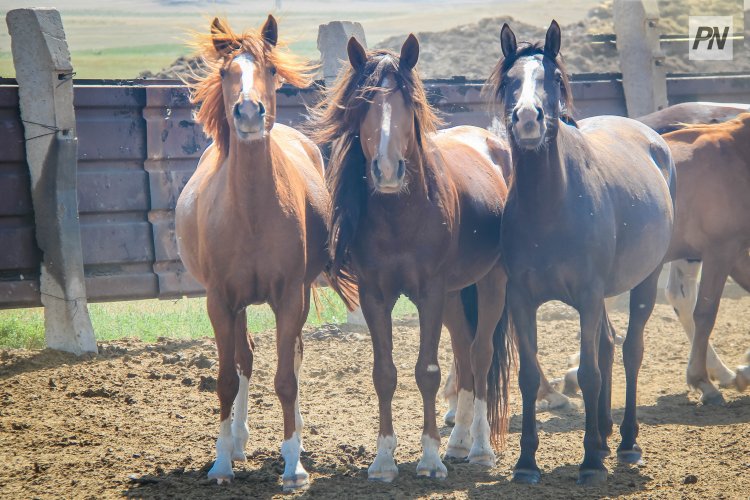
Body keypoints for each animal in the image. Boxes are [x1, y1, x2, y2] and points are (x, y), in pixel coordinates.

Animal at [175, 17, 356, 490]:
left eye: (271, 70)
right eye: (225, 72)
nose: (249, 112)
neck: (252, 213)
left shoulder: (290, 296)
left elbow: (287, 378)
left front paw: (294, 465)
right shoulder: (220, 301)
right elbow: (225, 378)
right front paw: (221, 462)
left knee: (288, 356)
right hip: (236, 306)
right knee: (244, 358)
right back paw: (237, 441)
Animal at [312, 35, 516, 480]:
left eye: (408, 103)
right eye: (365, 104)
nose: (388, 170)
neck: (400, 216)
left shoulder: (430, 292)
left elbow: (427, 371)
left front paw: (429, 459)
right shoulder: (374, 295)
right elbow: (384, 374)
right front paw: (384, 460)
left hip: (491, 281)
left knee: (480, 354)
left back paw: (480, 448)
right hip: (456, 294)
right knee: (464, 351)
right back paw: (459, 442)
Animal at [490, 22, 680, 484]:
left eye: (555, 79)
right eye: (508, 81)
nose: (527, 118)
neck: (550, 207)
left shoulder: (589, 296)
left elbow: (590, 373)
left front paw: (591, 460)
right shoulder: (521, 299)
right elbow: (529, 375)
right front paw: (526, 463)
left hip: (645, 281)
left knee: (630, 350)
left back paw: (626, 442)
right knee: (610, 344)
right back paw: (607, 433)